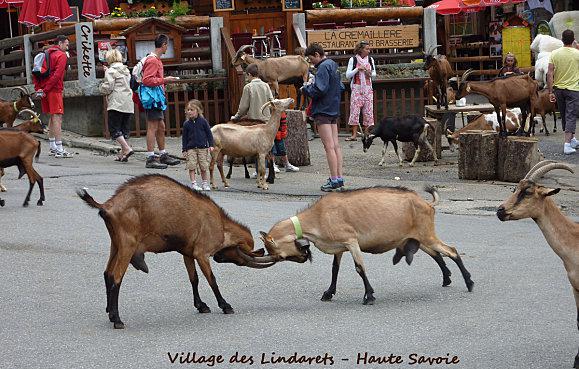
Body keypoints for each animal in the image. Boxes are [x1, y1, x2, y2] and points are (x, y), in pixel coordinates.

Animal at [78, 174, 276, 330]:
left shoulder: (188, 252)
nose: (219, 258)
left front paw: (201, 305)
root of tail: (108, 205)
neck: (220, 224)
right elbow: (212, 280)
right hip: (127, 245)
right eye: (241, 260)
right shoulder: (202, 253)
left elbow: (194, 279)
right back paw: (117, 319)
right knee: (117, 278)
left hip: (116, 244)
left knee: (108, 273)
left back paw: (110, 313)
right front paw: (225, 305)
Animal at [255, 185, 476, 304]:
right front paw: (328, 293)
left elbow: (360, 268)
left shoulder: (351, 242)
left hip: (427, 234)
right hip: (418, 237)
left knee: (451, 251)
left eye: (278, 254)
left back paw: (469, 282)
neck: (318, 217)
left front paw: (369, 296)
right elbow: (334, 269)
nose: (303, 258)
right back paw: (447, 278)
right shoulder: (340, 247)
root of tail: (427, 204)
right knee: (437, 254)